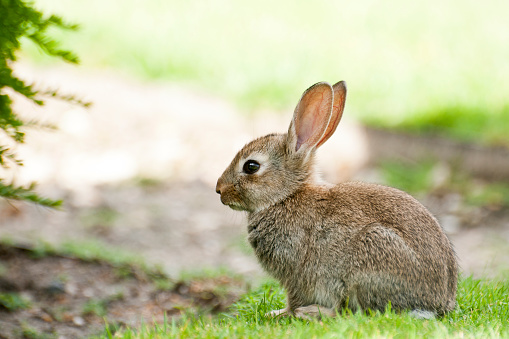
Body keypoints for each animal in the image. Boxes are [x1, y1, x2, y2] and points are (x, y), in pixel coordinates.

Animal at [214, 81, 456, 320]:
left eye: (251, 166)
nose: (219, 189)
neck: (286, 196)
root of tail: (437, 304)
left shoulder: (295, 272)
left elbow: (294, 298)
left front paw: (280, 314)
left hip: (367, 261)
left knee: (355, 312)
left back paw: (312, 312)